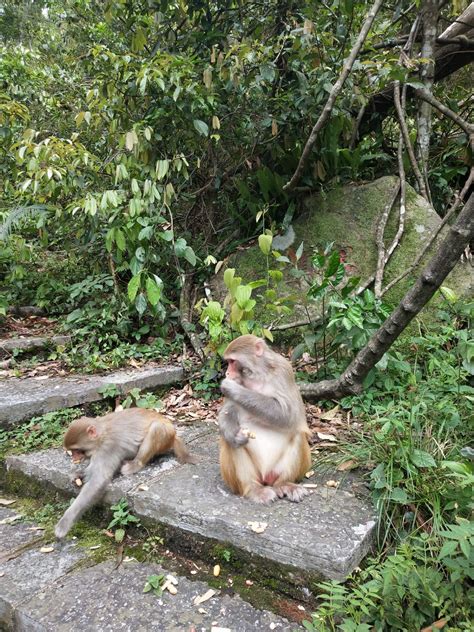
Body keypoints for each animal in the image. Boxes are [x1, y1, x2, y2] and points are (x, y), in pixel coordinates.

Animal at [54, 410, 195, 540]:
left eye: (77, 450)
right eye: (72, 451)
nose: (74, 458)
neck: (101, 435)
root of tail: (174, 436)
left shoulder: (107, 448)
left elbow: (98, 480)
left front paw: (64, 523)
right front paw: (78, 474)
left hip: (165, 436)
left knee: (156, 428)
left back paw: (135, 465)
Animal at [218, 336, 312, 504]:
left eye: (232, 361)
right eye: (228, 362)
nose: (227, 373)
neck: (257, 376)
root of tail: (266, 478)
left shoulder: (284, 370)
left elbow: (289, 415)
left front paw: (234, 388)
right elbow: (226, 413)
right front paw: (235, 437)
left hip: (278, 471)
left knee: (297, 434)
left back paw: (285, 484)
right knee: (232, 444)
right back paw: (254, 489)